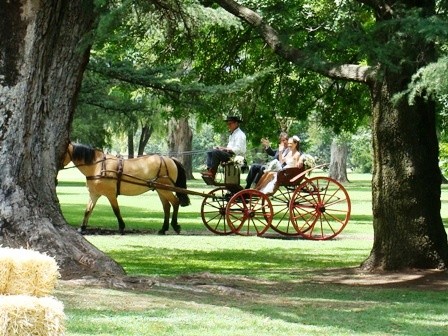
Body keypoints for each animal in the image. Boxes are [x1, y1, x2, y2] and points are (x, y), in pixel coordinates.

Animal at [62, 143, 190, 235]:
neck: (98, 166)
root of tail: (170, 159)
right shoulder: (94, 194)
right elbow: (88, 210)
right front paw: (82, 228)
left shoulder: (110, 194)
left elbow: (116, 210)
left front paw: (122, 227)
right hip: (160, 190)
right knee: (167, 207)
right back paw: (163, 229)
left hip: (165, 189)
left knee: (175, 202)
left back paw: (175, 226)